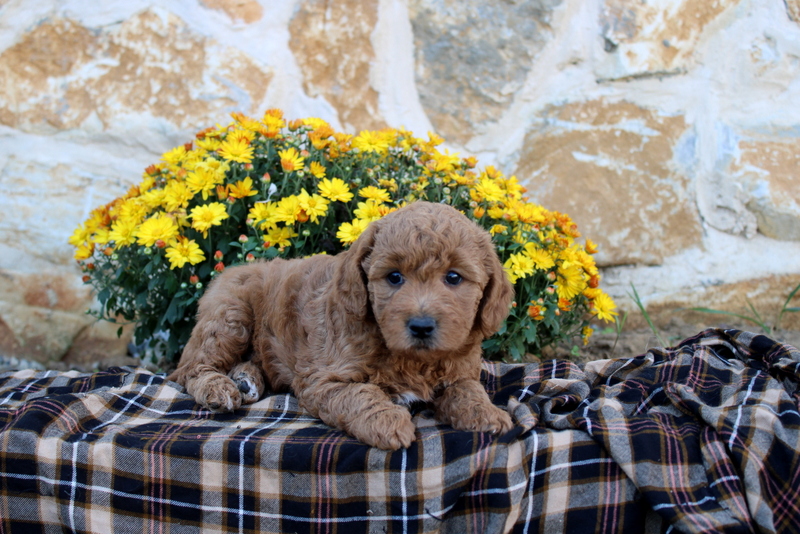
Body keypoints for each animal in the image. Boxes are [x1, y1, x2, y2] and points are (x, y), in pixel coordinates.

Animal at [172, 203, 516, 450]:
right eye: (394, 277)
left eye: (454, 277)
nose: (421, 326)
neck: (411, 359)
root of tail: (231, 271)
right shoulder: (322, 381)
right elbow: (362, 393)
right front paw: (388, 422)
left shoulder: (460, 370)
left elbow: (468, 388)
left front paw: (487, 414)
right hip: (230, 315)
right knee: (190, 368)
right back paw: (220, 388)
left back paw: (246, 379)